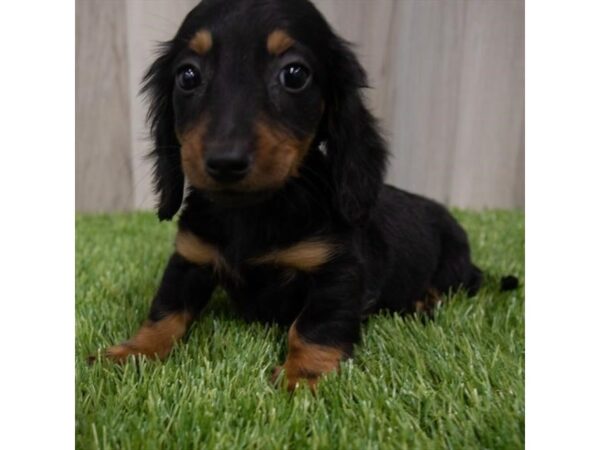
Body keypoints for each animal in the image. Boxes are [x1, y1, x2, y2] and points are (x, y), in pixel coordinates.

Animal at [96, 0, 492, 390]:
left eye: (295, 75)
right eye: (187, 76)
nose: (225, 161)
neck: (252, 213)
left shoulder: (337, 269)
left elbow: (313, 325)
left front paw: (301, 376)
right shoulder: (190, 256)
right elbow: (166, 309)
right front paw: (133, 351)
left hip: (455, 266)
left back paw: (425, 301)